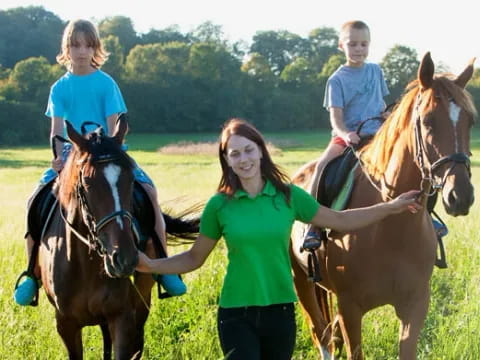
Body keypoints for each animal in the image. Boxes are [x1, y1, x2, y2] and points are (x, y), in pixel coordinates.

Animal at [37, 119, 199, 360]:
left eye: (131, 179)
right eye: (87, 182)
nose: (124, 259)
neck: (85, 264)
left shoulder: (122, 318)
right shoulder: (65, 324)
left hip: (141, 304)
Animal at [288, 52, 476, 358]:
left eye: (469, 121)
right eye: (427, 122)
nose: (460, 196)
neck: (390, 226)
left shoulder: (415, 306)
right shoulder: (350, 309)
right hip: (301, 281)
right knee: (321, 334)